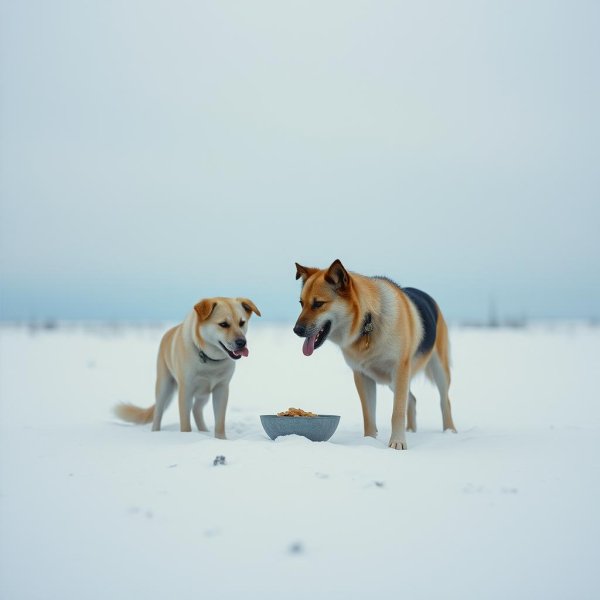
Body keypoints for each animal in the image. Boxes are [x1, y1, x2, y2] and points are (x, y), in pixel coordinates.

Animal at [115, 298, 260, 438]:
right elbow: (185, 422)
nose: (242, 342)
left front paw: (221, 440)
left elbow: (219, 422)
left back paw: (204, 431)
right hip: (164, 386)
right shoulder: (186, 390)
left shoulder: (221, 389)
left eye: (242, 323)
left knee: (196, 409)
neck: (209, 359)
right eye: (223, 324)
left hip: (204, 393)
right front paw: (187, 436)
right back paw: (156, 432)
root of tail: (168, 332)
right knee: (158, 412)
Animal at [292, 260, 458, 448]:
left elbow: (397, 412)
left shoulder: (400, 369)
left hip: (437, 371)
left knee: (444, 401)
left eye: (318, 304)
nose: (296, 330)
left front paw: (397, 443)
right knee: (413, 400)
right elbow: (369, 415)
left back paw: (449, 432)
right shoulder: (362, 376)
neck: (368, 322)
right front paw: (369, 442)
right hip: (394, 382)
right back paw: (411, 430)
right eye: (301, 303)